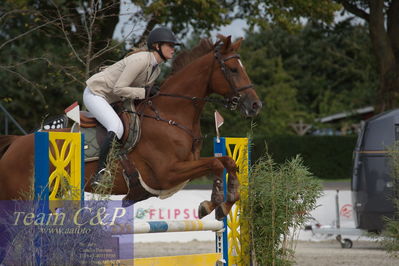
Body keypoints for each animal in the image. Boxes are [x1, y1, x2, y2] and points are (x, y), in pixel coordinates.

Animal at [0, 34, 262, 221]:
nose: (255, 105)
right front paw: (212, 203)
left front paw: (224, 203)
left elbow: (227, 162)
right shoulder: (167, 173)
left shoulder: (186, 166)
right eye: (233, 70)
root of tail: (16, 142)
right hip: (19, 197)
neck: (171, 115)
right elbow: (216, 163)